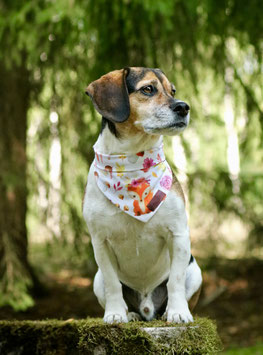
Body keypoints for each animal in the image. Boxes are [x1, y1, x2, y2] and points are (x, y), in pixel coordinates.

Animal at [83, 67, 203, 326]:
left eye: (172, 91)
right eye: (148, 89)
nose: (184, 107)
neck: (131, 162)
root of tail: (148, 307)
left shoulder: (178, 235)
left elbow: (175, 281)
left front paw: (178, 312)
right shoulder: (100, 243)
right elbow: (113, 284)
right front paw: (115, 314)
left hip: (195, 271)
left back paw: (167, 311)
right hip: (96, 279)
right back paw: (130, 313)